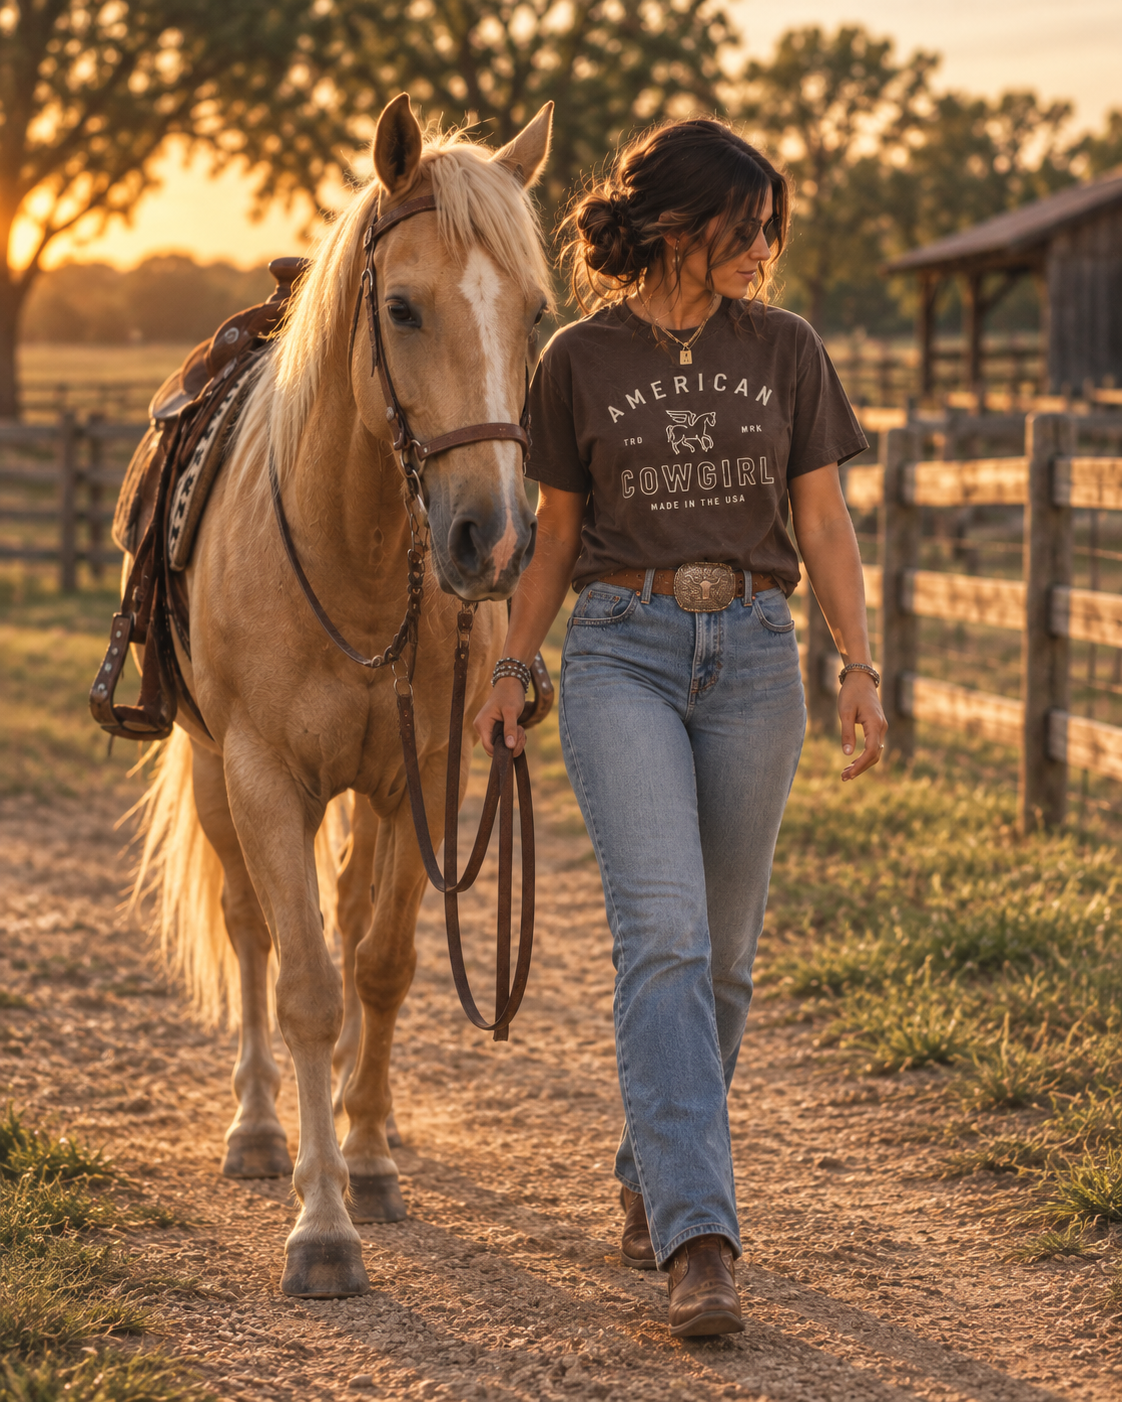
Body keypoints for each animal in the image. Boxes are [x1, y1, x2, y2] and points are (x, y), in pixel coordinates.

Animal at [126, 93, 553, 1299]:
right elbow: (306, 983)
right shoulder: (266, 777)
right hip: (216, 777)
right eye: (401, 307)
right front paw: (320, 1222)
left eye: (537, 315)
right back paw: (261, 1130)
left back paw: (374, 1116)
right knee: (251, 931)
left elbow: (383, 964)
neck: (352, 565)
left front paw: (366, 1162)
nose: (491, 540)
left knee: (359, 922)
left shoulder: (422, 781)